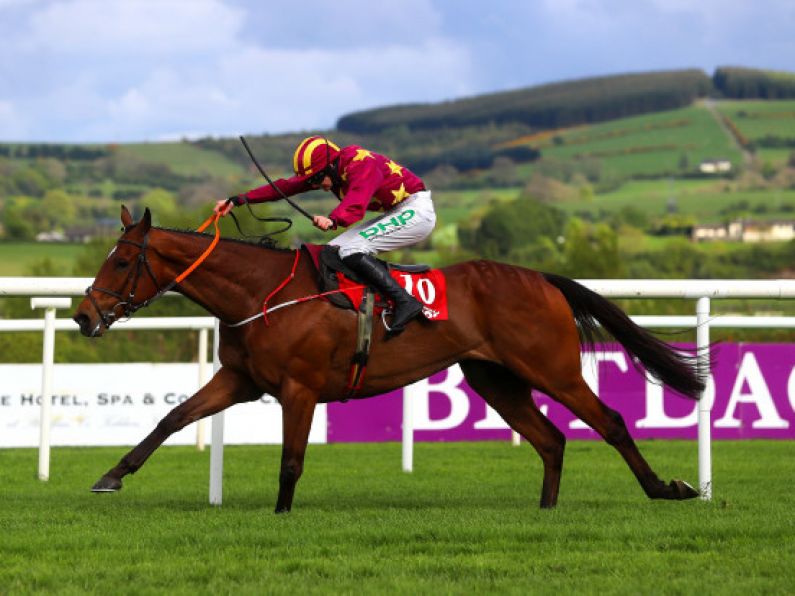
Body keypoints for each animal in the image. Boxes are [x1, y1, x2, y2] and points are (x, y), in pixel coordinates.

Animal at [73, 206, 704, 512]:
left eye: (123, 261)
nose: (82, 316)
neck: (262, 293)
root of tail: (542, 278)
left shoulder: (300, 388)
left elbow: (292, 461)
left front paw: (281, 516)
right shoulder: (241, 378)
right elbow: (172, 417)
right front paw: (110, 477)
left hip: (550, 367)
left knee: (610, 422)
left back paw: (666, 490)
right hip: (495, 378)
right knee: (551, 440)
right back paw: (546, 511)